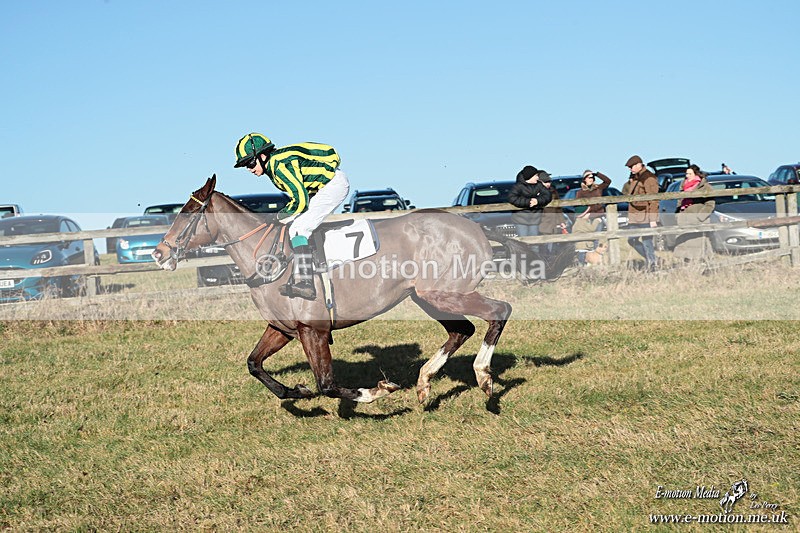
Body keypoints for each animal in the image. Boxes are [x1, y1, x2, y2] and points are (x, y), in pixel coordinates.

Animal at [152, 175, 512, 404]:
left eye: (186, 213)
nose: (159, 253)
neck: (269, 255)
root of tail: (475, 227)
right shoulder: (283, 328)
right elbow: (254, 364)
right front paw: (295, 392)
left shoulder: (313, 330)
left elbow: (327, 384)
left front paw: (377, 391)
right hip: (427, 297)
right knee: (461, 330)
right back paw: (424, 383)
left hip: (444, 293)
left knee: (500, 310)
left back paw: (483, 376)